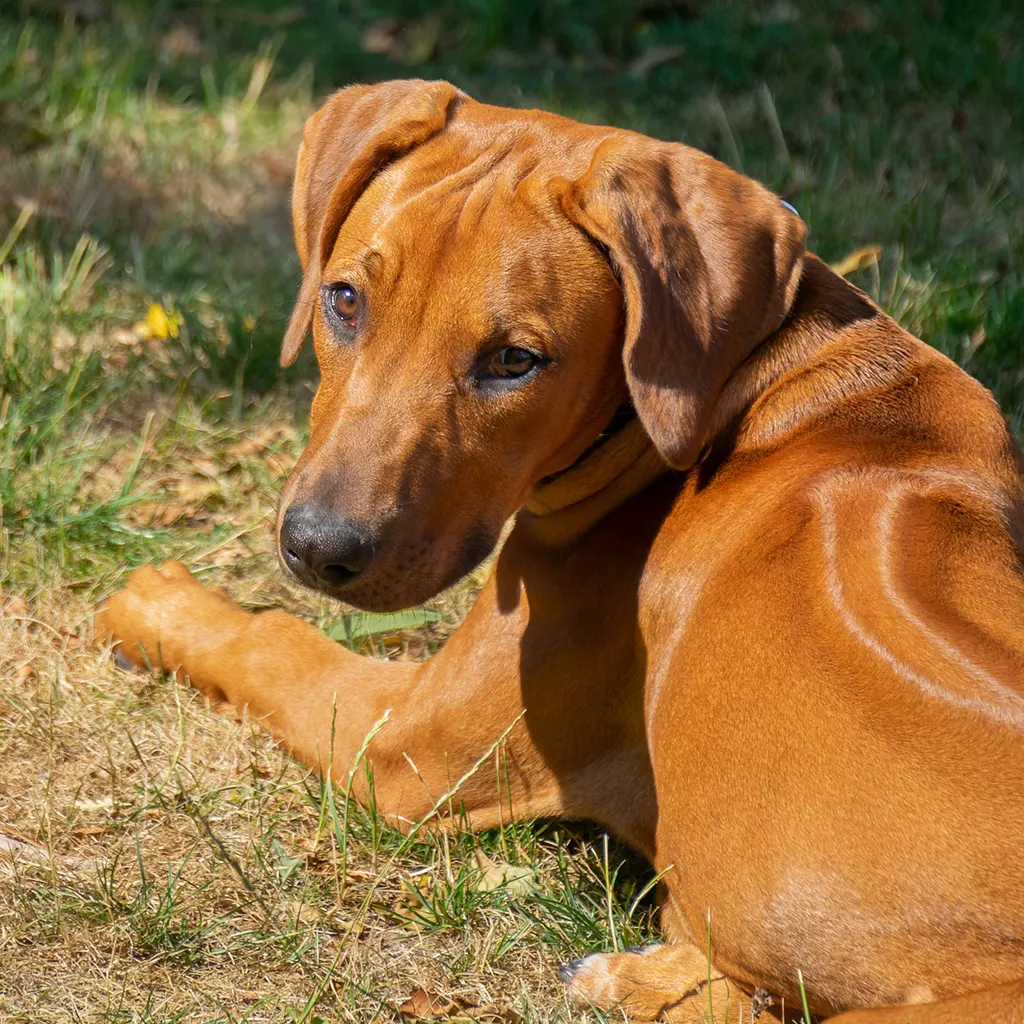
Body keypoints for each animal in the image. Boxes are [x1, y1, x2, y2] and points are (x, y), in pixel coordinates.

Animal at [97, 81, 1024, 1024]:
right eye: (344, 300)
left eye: (516, 360)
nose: (318, 549)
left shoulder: (404, 749)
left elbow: (270, 640)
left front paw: (156, 602)